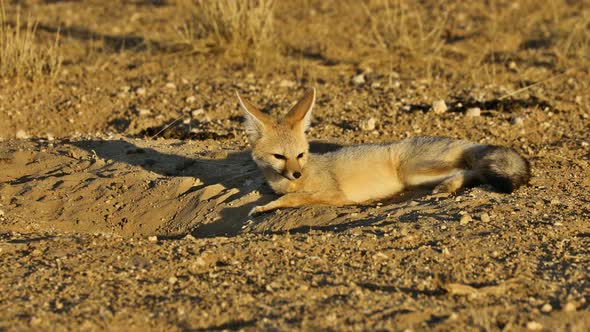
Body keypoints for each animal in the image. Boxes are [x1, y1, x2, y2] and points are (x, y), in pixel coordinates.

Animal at [238, 87, 536, 215]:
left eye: (300, 155)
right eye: (279, 157)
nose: (297, 174)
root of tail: (467, 141)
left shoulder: (335, 195)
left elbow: (295, 199)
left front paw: (264, 207)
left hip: (413, 170)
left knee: (471, 169)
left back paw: (448, 186)